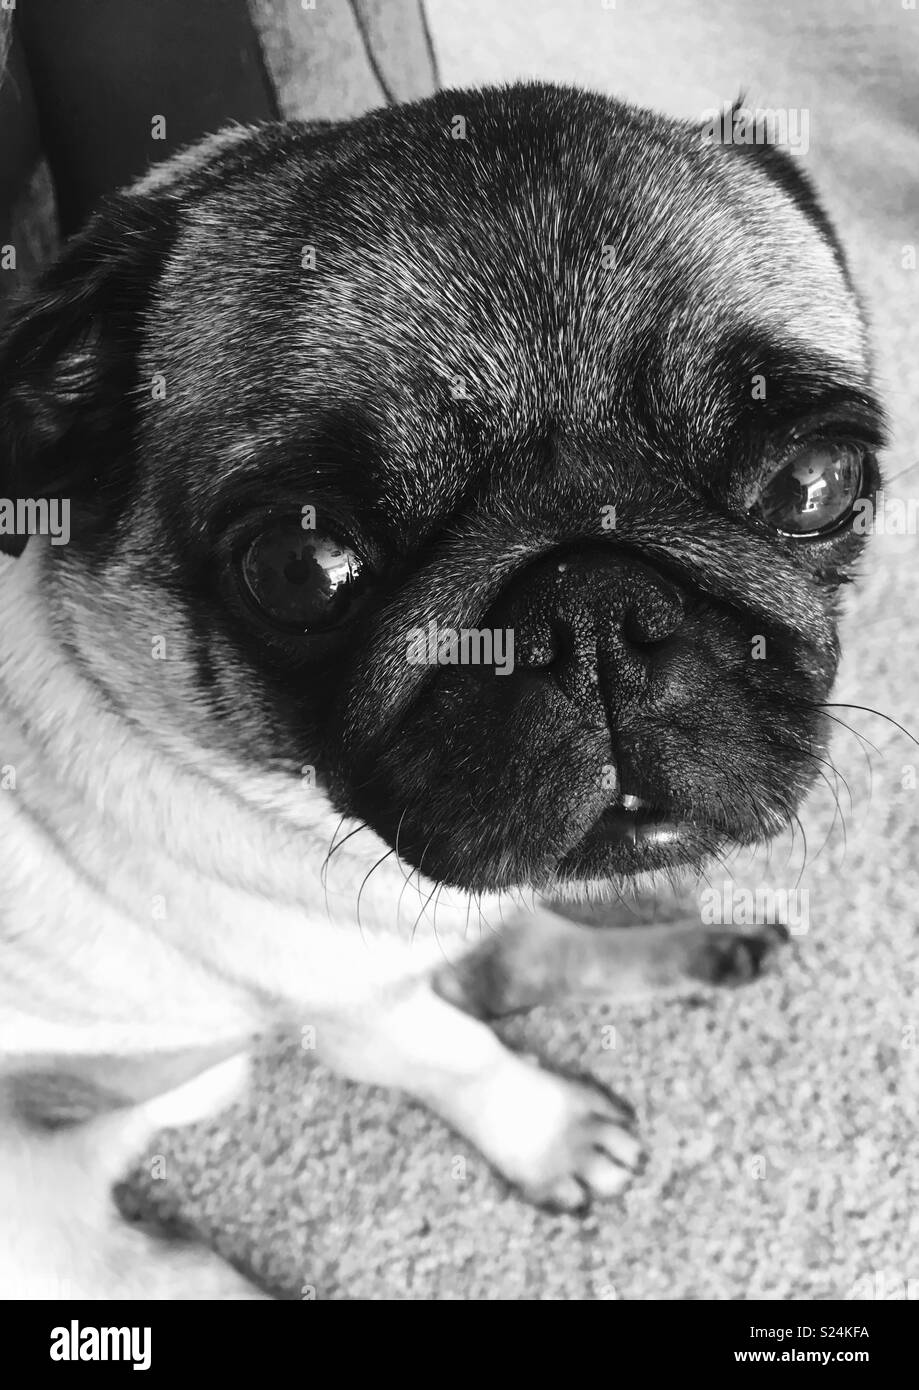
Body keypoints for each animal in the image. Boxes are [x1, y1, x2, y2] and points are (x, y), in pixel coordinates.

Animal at [0, 86, 884, 1295]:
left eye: (818, 483)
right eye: (299, 568)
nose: (594, 608)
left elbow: (503, 959)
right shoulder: (348, 1011)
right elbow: (458, 1052)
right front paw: (547, 1130)